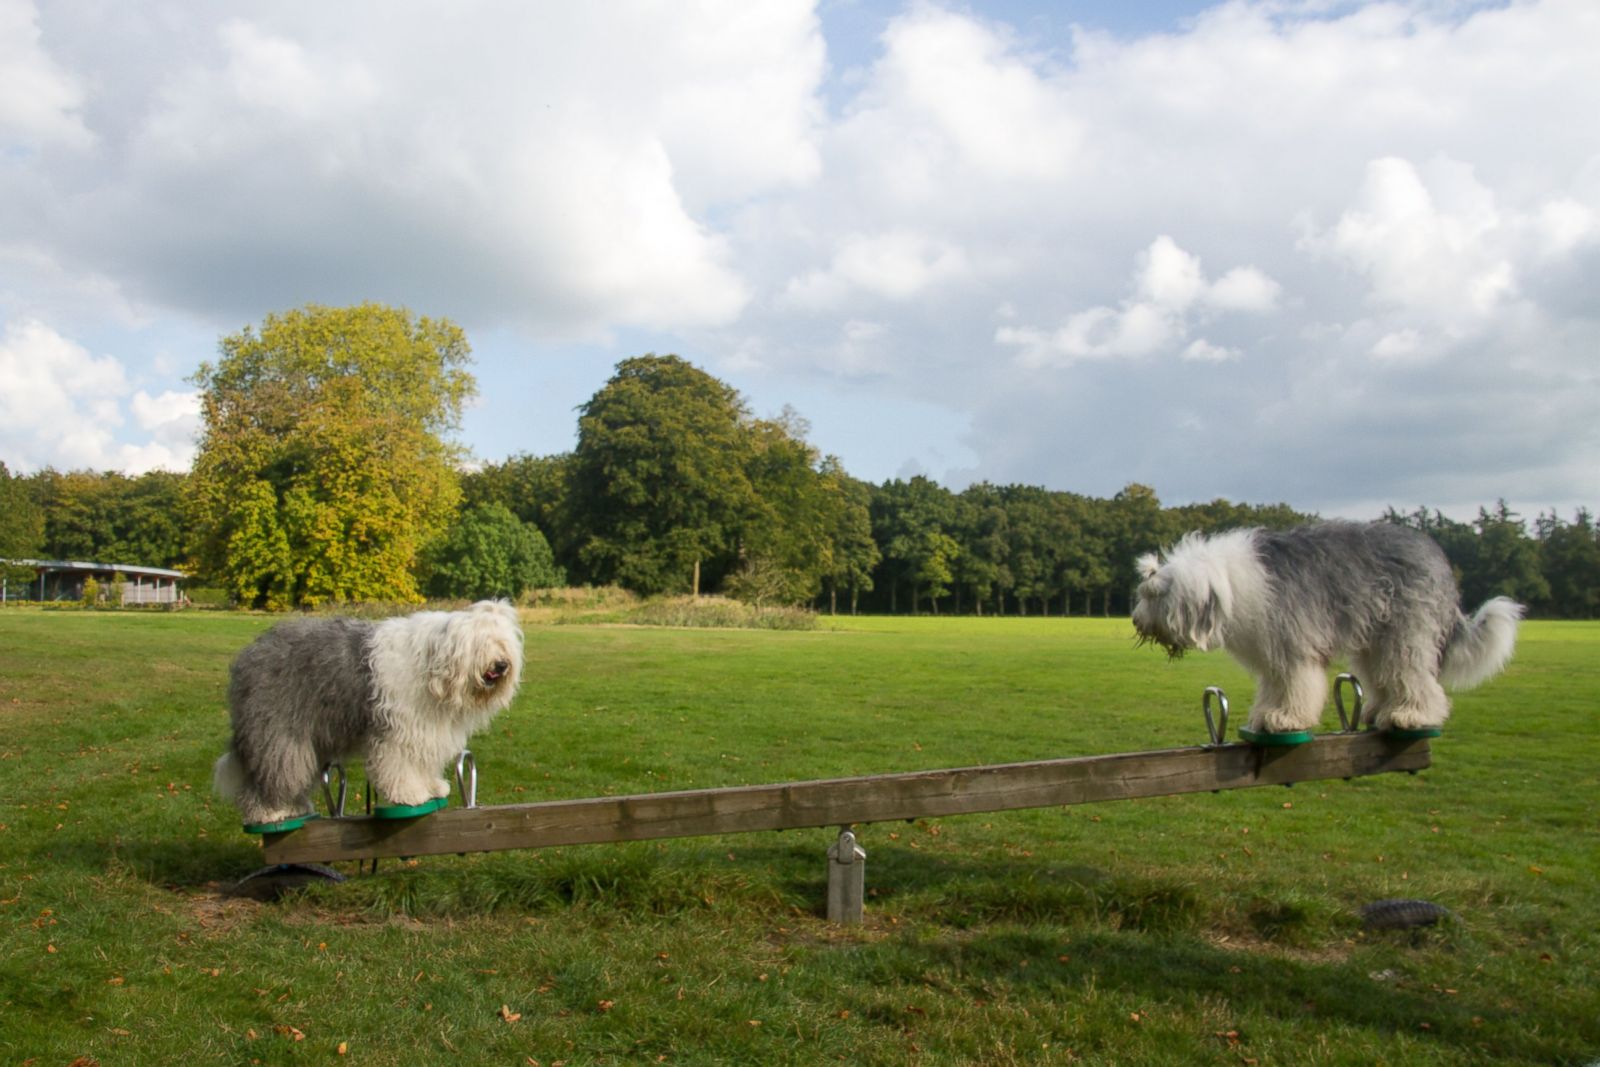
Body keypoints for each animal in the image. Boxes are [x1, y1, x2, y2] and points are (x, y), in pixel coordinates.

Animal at [212, 601, 521, 825]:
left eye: (503, 642)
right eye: (480, 642)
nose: (501, 664)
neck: (433, 667)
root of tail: (251, 653)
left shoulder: (426, 728)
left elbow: (422, 762)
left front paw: (432, 787)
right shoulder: (399, 729)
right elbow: (401, 764)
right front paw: (410, 794)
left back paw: (293, 807)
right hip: (278, 729)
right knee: (274, 771)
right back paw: (269, 811)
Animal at [1132, 524, 1516, 735]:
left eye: (1155, 596)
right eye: (1145, 593)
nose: (1135, 620)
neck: (1228, 582)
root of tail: (1437, 558)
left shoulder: (1293, 645)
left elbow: (1297, 684)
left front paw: (1287, 719)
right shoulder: (1273, 652)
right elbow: (1276, 686)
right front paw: (1268, 715)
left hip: (1406, 632)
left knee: (1414, 675)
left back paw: (1411, 714)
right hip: (1373, 638)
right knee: (1382, 675)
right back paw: (1378, 711)